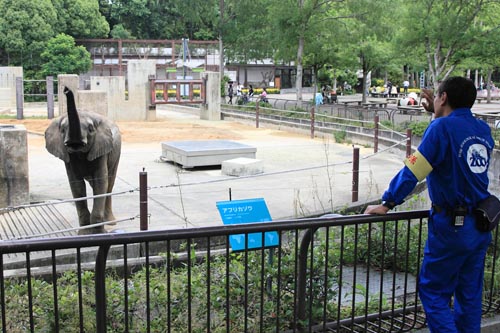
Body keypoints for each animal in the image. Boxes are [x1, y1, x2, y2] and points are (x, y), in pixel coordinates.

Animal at [45, 87, 122, 233]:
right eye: (62, 130)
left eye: (91, 129)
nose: (66, 90)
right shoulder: (68, 158)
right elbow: (76, 185)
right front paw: (85, 232)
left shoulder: (101, 149)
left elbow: (101, 182)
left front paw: (98, 232)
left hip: (116, 153)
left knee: (109, 184)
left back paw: (110, 222)